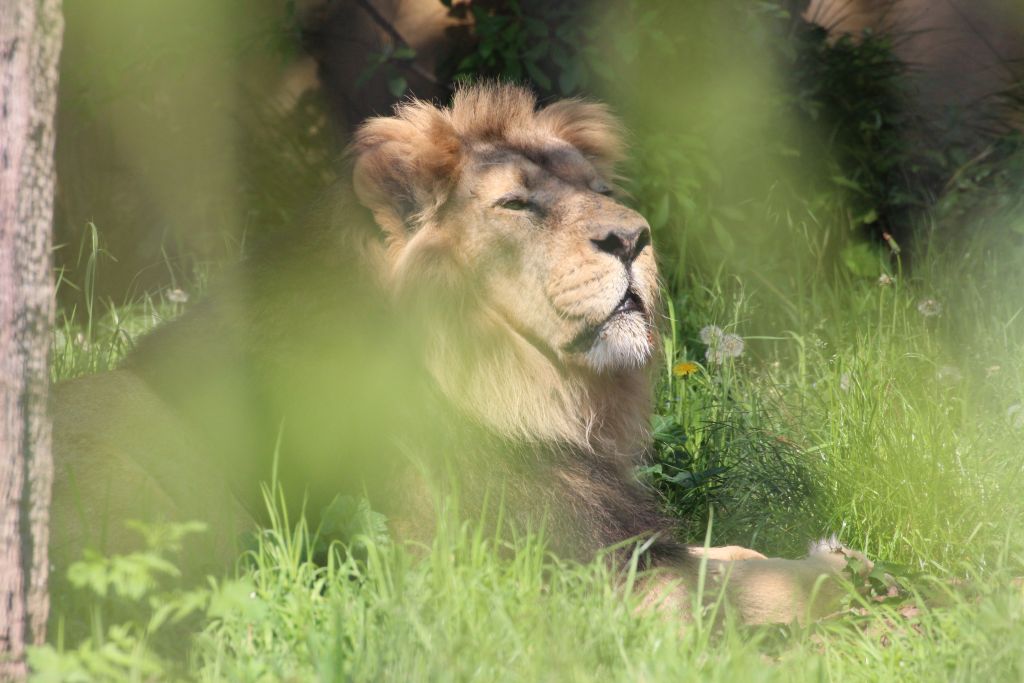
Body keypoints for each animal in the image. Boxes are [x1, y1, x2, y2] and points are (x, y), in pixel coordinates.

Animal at [51, 83, 868, 625]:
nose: (634, 237)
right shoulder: (548, 580)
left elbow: (728, 554)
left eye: (602, 189)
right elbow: (758, 586)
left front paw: (828, 553)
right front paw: (847, 573)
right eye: (515, 203)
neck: (535, 399)